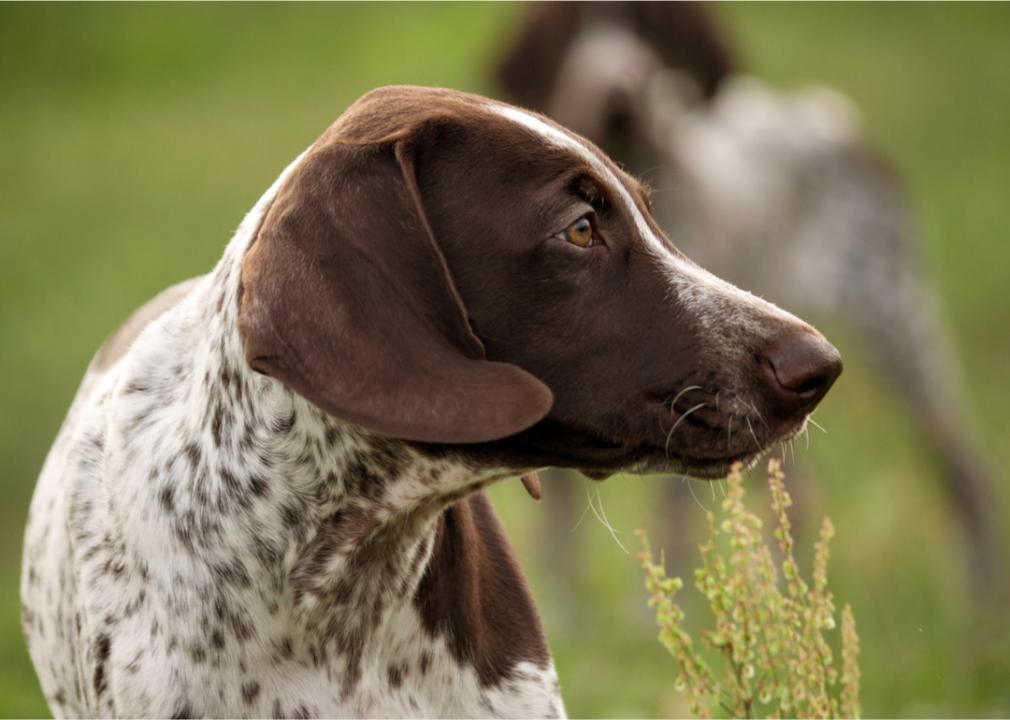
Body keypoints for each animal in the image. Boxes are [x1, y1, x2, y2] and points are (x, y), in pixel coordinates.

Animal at [496, 2, 993, 585]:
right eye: (572, 29)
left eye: (653, 28)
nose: (619, 91)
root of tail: (827, 112)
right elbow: (561, 530)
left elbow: (670, 525)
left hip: (899, 332)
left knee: (965, 473)